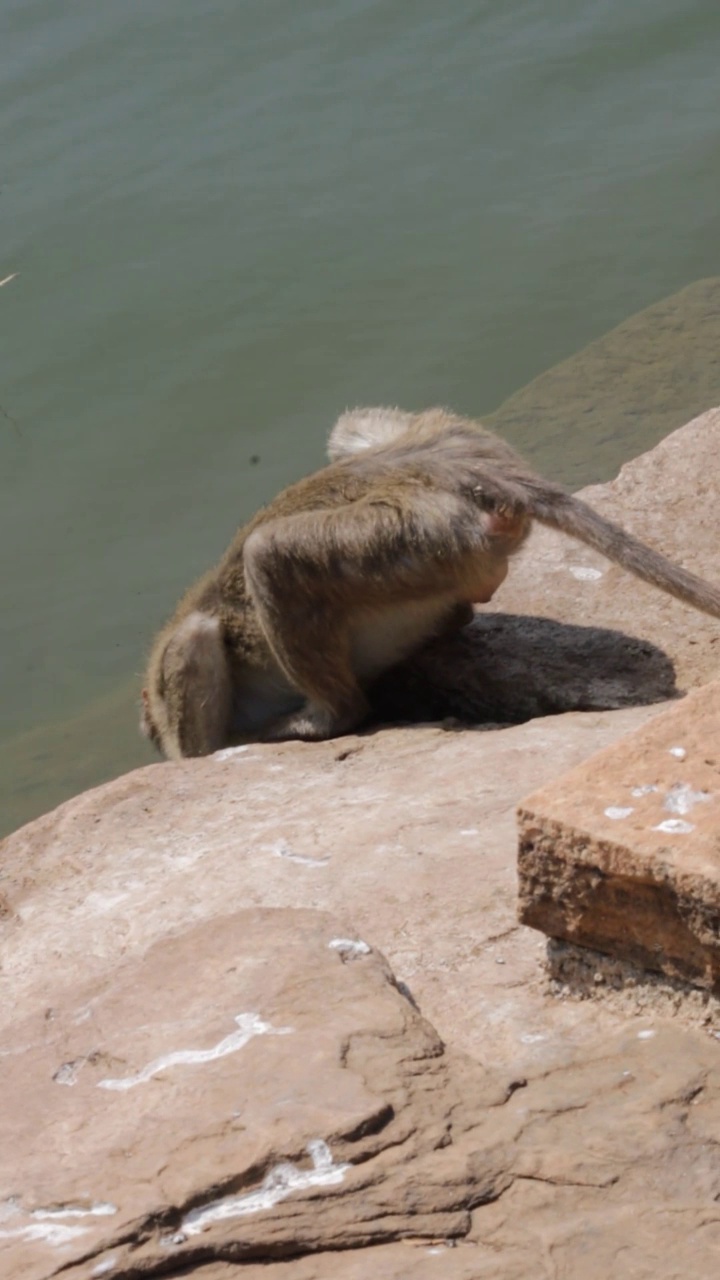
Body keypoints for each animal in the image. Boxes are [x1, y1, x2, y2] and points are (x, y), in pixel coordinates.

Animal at [140, 404, 717, 752]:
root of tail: (466, 471)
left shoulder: (175, 676)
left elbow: (193, 663)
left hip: (413, 537)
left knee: (270, 554)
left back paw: (325, 718)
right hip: (443, 509)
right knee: (347, 429)